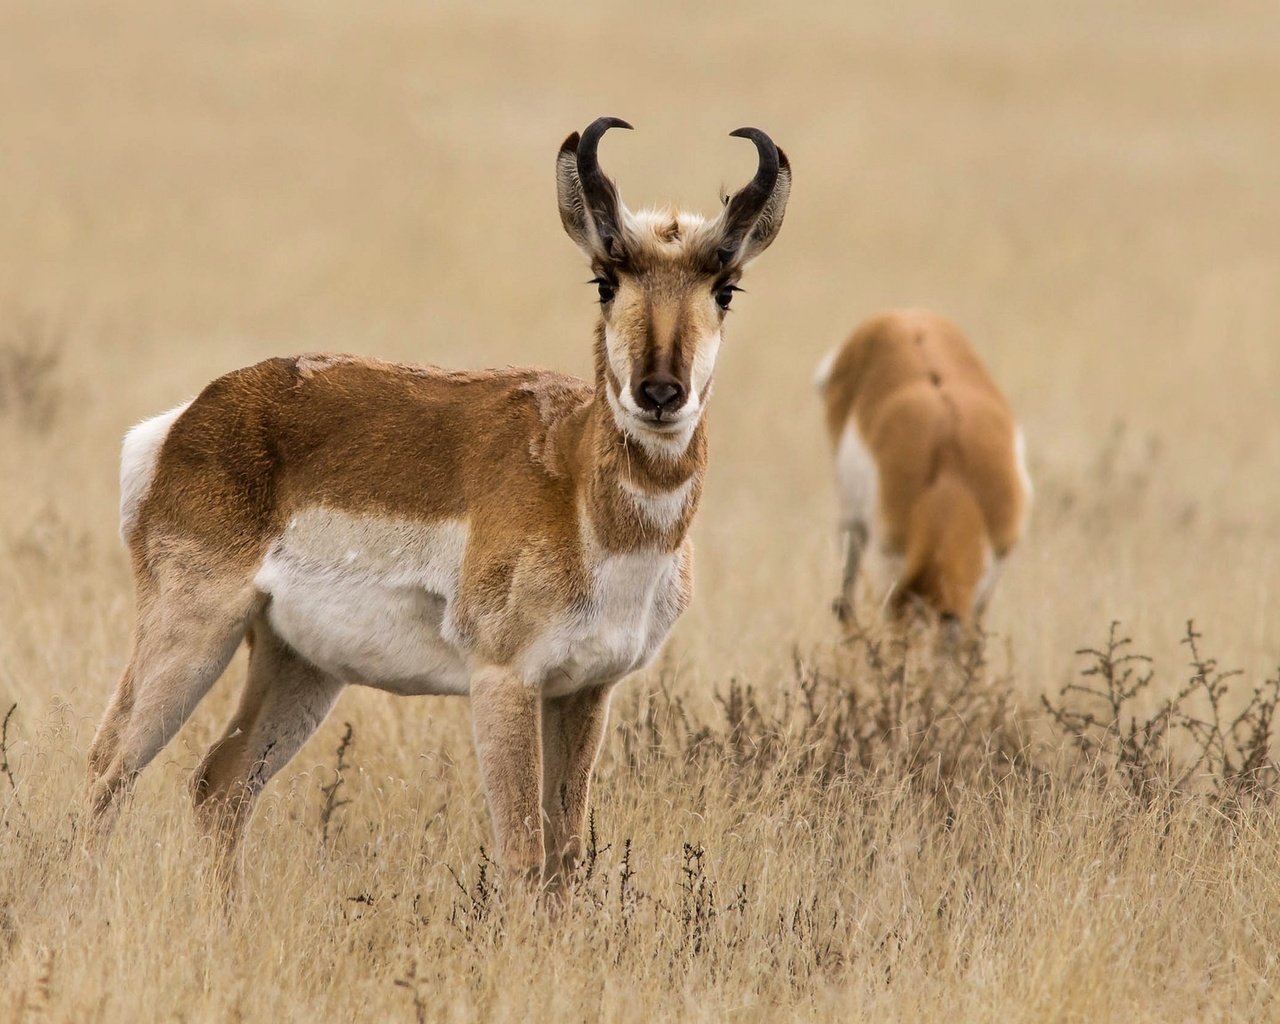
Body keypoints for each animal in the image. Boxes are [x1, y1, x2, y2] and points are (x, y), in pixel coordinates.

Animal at [87, 117, 788, 885]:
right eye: (605, 280)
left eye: (726, 289)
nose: (660, 393)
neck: (576, 482)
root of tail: (193, 414)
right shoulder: (504, 683)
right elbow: (523, 854)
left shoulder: (584, 691)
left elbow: (566, 855)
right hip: (193, 630)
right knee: (109, 765)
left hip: (299, 664)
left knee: (221, 783)